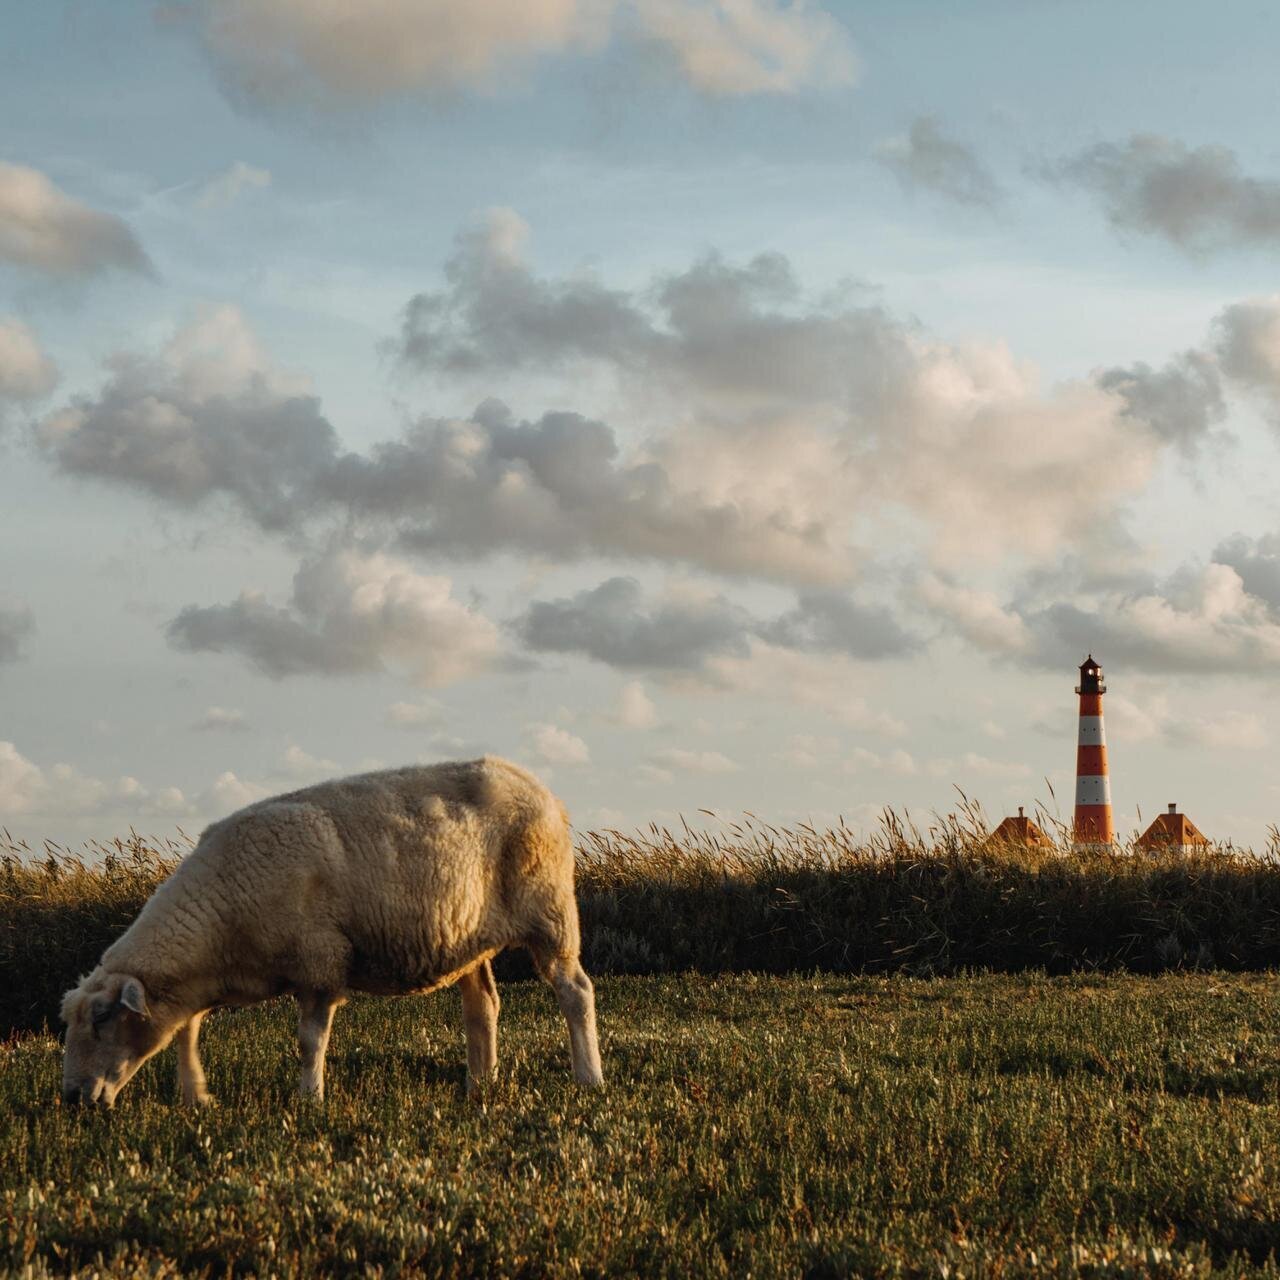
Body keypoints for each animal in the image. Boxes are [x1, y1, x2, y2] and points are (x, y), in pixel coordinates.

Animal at [61, 756, 602, 1108]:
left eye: (103, 1018)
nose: (70, 1098)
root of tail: (540, 788)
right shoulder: (209, 979)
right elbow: (186, 1032)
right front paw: (196, 1096)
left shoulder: (319, 962)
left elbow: (309, 1041)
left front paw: (310, 1099)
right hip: (469, 935)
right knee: (483, 1005)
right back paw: (480, 1085)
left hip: (551, 911)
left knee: (575, 991)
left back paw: (589, 1078)